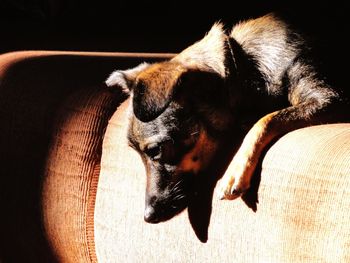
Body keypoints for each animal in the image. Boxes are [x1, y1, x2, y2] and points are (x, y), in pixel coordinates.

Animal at [105, 13, 348, 225]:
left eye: (155, 150)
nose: (148, 216)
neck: (243, 67)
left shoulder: (330, 99)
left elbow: (265, 120)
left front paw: (235, 172)